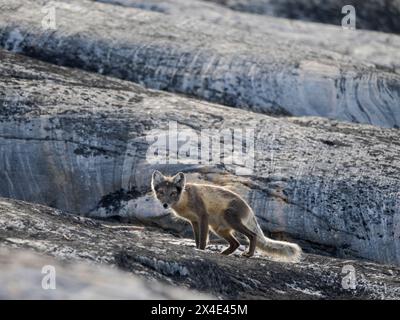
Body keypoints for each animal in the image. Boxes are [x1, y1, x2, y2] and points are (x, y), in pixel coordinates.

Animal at [152, 171, 302, 262]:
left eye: (173, 193)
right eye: (161, 192)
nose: (165, 205)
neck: (185, 199)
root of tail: (249, 209)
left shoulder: (203, 217)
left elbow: (203, 240)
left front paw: (201, 251)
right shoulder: (194, 221)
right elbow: (197, 239)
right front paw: (197, 249)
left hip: (229, 218)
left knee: (252, 235)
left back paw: (248, 254)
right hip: (219, 229)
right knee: (236, 243)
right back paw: (223, 254)